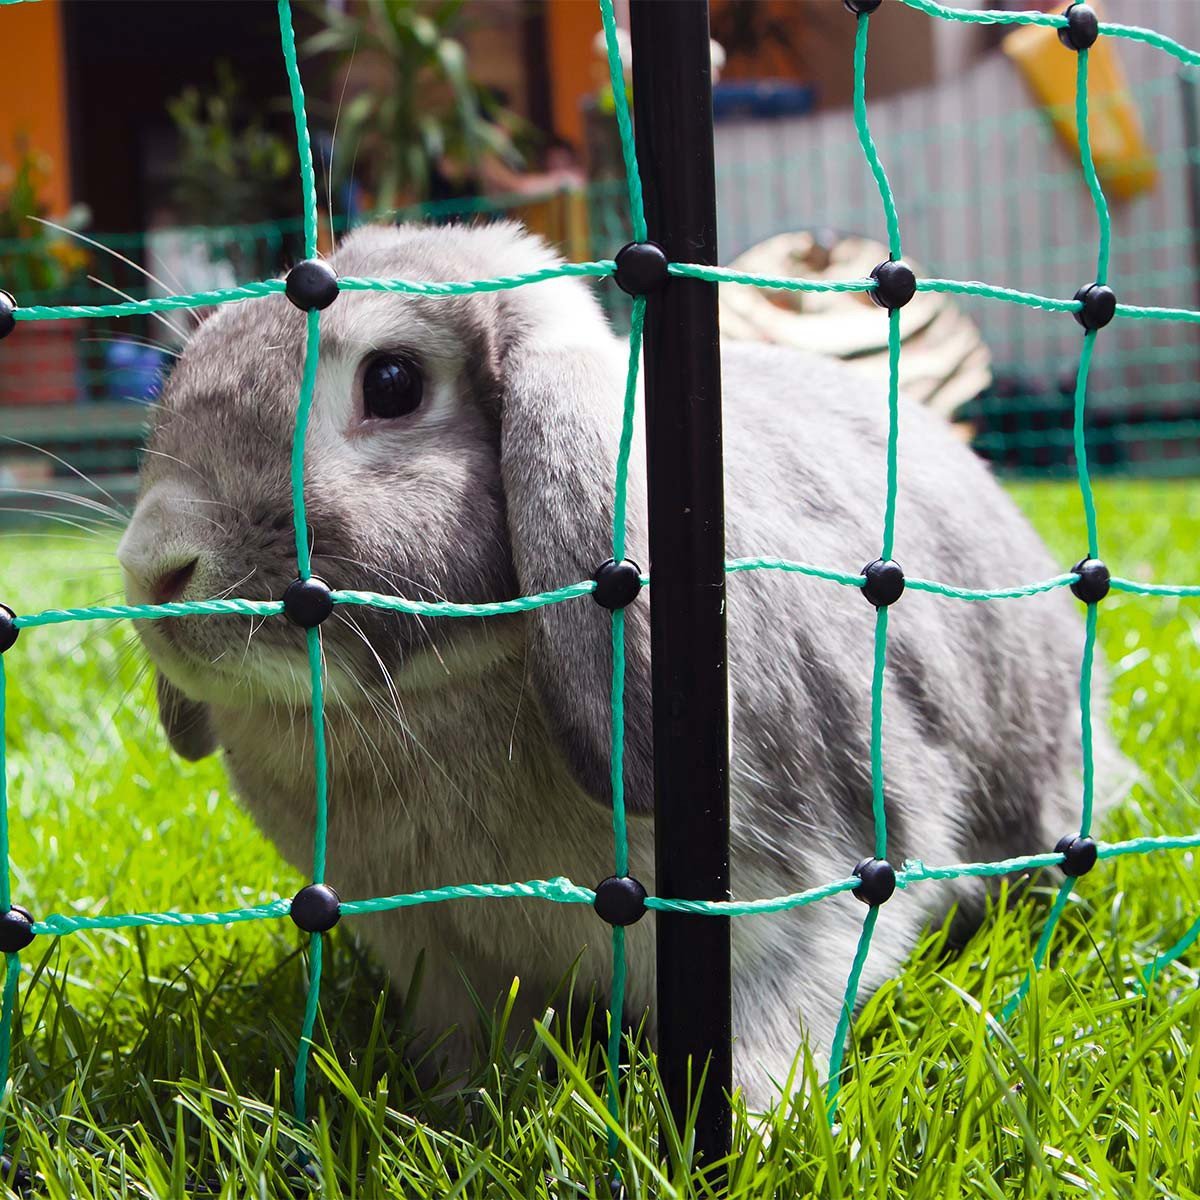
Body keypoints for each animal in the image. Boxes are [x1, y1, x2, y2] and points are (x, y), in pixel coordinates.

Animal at [117, 222, 1122, 1109]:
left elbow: (772, 1033)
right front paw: (455, 1111)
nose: (153, 567)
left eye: (393, 383)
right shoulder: (435, 955)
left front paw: (749, 1131)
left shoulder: (800, 907)